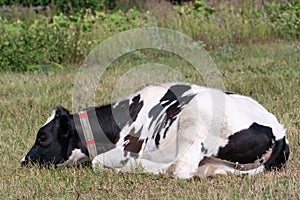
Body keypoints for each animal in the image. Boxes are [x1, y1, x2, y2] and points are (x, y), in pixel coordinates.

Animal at [19, 82, 290, 179]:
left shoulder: (127, 148)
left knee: (180, 169)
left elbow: (96, 162)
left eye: (42, 138)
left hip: (196, 118)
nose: (23, 162)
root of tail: (279, 131)